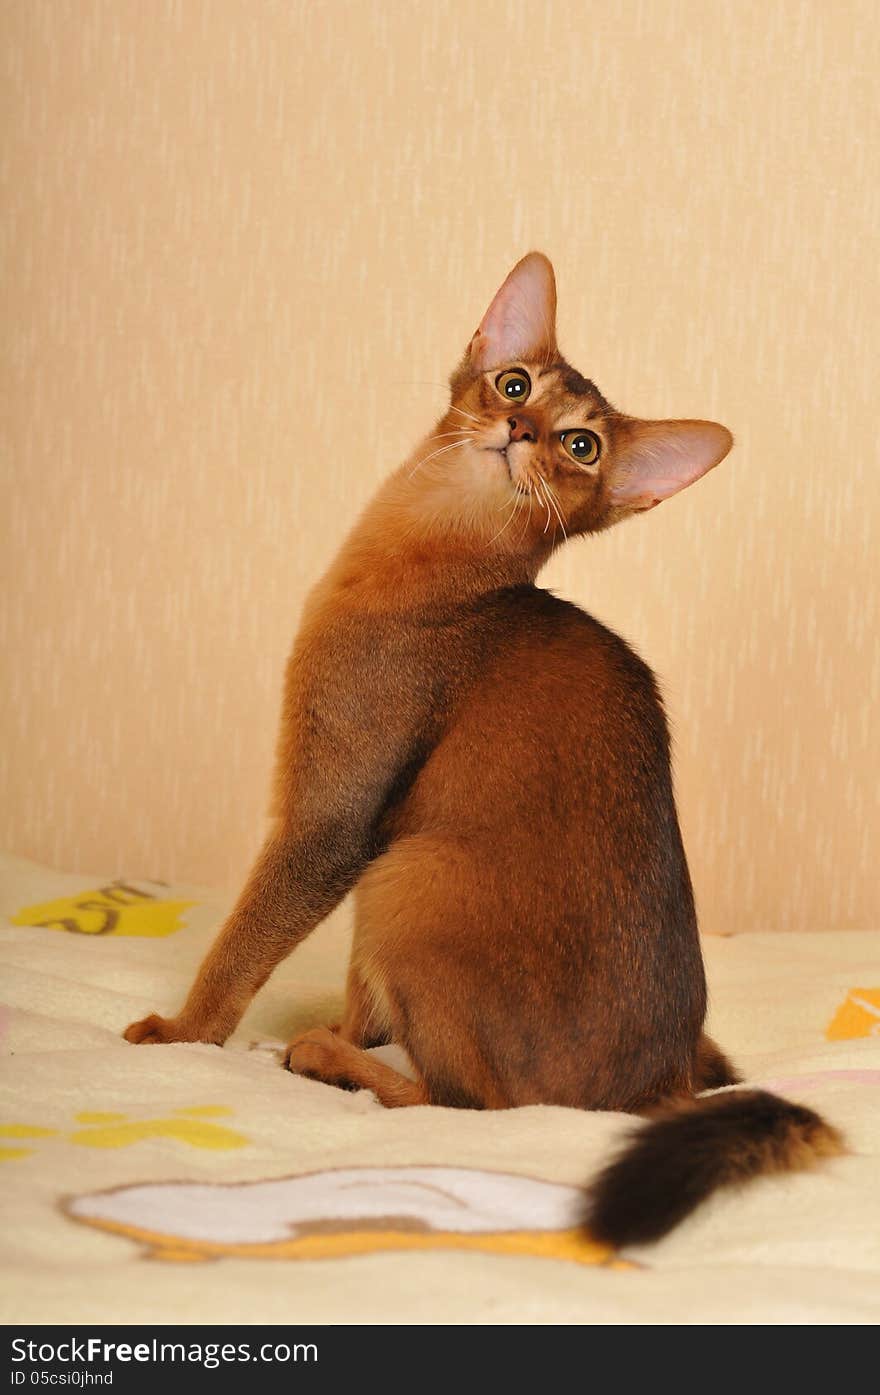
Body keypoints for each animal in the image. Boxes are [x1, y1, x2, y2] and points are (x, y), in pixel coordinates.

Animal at [122, 251, 842, 1244]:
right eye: (514, 383)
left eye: (581, 446)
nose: (521, 428)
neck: (428, 568)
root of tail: (655, 1091)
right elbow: (360, 988)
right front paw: (345, 1020)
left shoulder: (334, 821)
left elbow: (244, 940)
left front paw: (187, 1033)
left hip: (406, 878)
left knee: (467, 1103)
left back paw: (325, 1059)